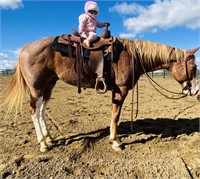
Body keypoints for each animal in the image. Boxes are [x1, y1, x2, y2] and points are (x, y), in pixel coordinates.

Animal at [0, 36, 199, 152]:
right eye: (194, 67)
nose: (196, 91)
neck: (132, 56)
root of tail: (24, 48)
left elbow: (114, 115)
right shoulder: (120, 90)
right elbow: (115, 115)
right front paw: (115, 142)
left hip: (48, 85)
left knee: (41, 111)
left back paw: (49, 138)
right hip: (36, 88)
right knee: (33, 112)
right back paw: (42, 144)